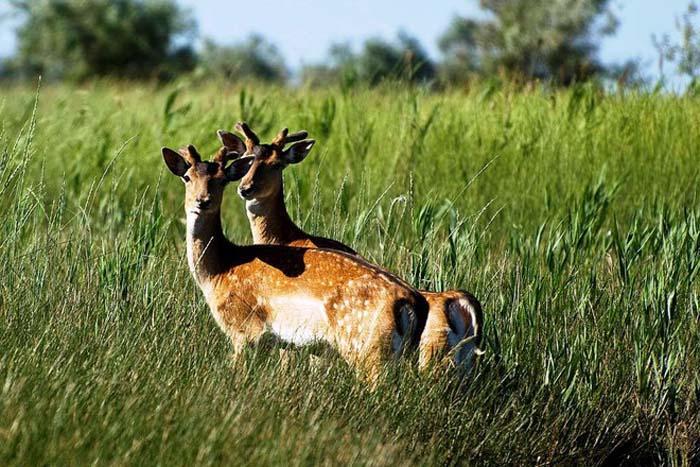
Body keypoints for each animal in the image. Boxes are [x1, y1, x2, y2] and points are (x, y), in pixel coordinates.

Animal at [161, 142, 430, 382]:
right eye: (187, 177)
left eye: (222, 179)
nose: (202, 200)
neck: (220, 270)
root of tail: (412, 302)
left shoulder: (243, 330)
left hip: (368, 348)